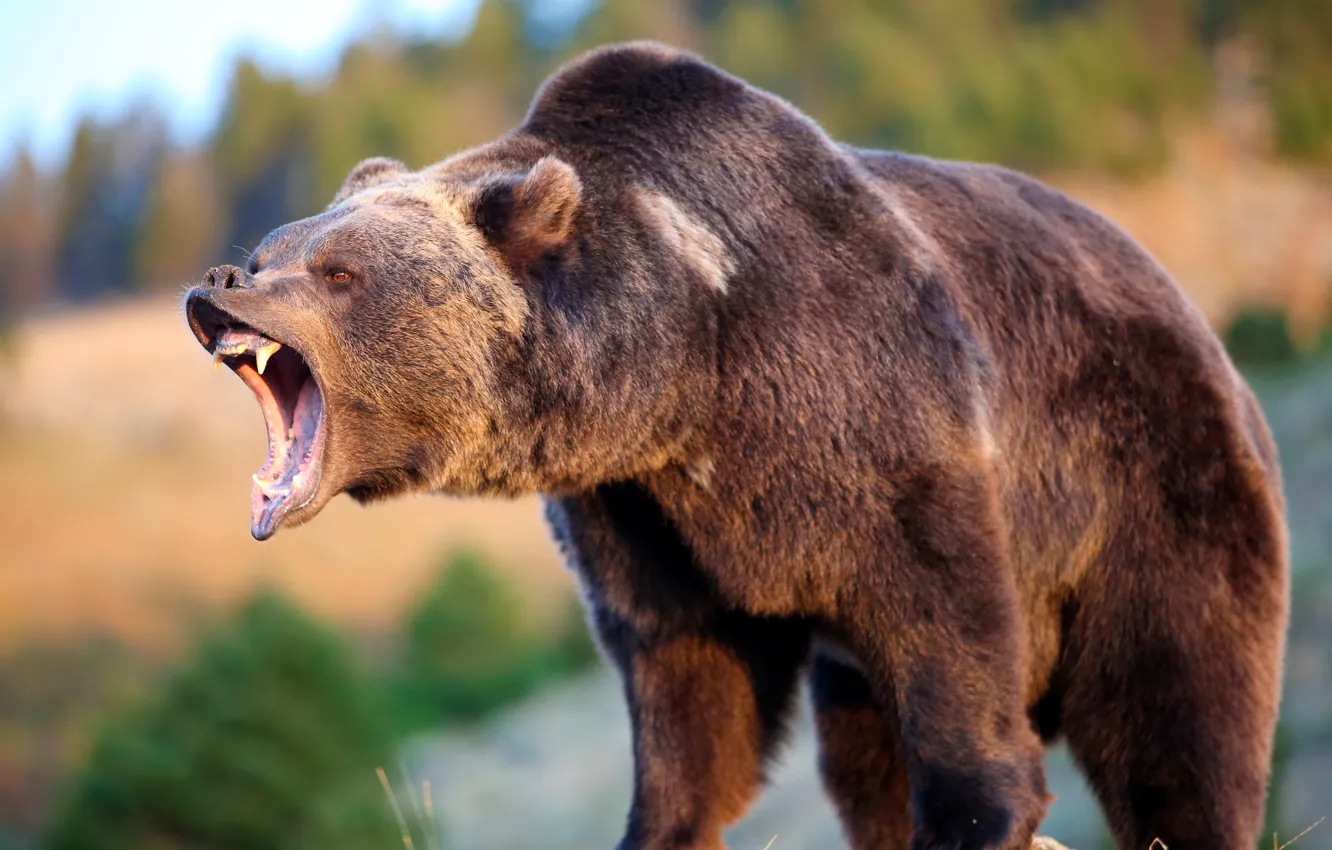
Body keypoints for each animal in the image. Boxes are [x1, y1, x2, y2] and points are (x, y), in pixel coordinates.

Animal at [185, 42, 1289, 850]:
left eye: (337, 271)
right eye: (269, 251)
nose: (219, 283)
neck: (686, 368)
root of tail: (1206, 330)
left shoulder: (874, 417)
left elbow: (947, 619)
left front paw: (982, 811)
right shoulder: (644, 515)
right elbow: (687, 692)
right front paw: (661, 824)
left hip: (1152, 482)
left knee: (1178, 712)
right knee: (862, 754)